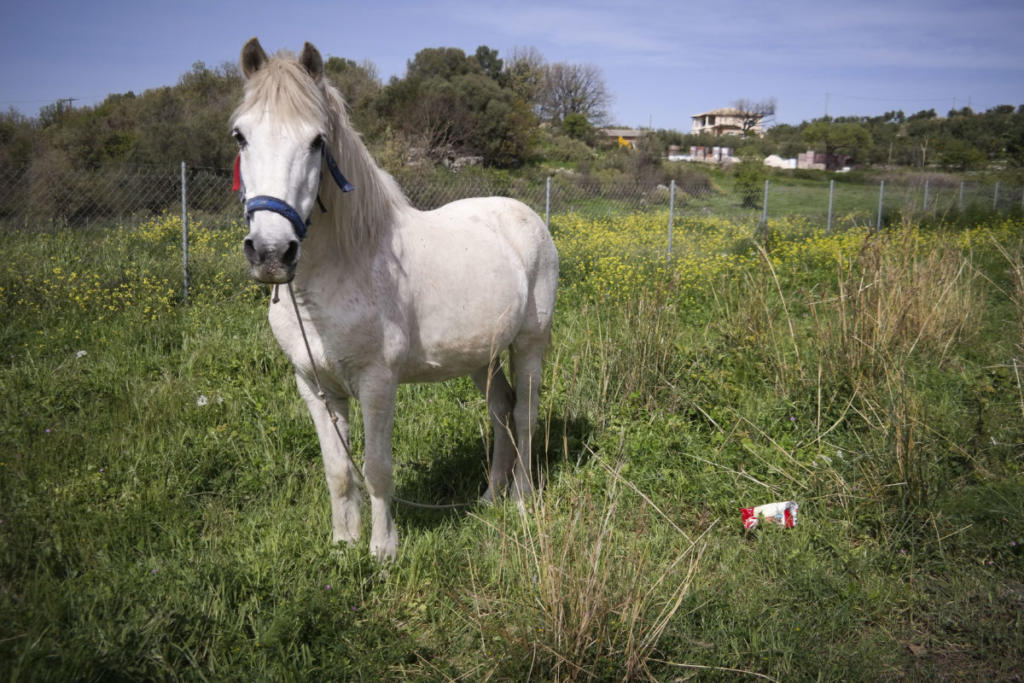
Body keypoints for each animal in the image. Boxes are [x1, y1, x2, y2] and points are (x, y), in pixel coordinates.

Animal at [231, 38, 557, 561]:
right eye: (241, 136)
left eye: (317, 141)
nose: (271, 252)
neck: (344, 267)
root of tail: (526, 216)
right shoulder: (315, 387)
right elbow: (338, 470)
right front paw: (343, 544)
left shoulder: (377, 383)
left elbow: (377, 468)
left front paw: (383, 551)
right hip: (481, 358)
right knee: (500, 410)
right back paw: (490, 496)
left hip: (530, 343)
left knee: (525, 415)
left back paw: (523, 501)